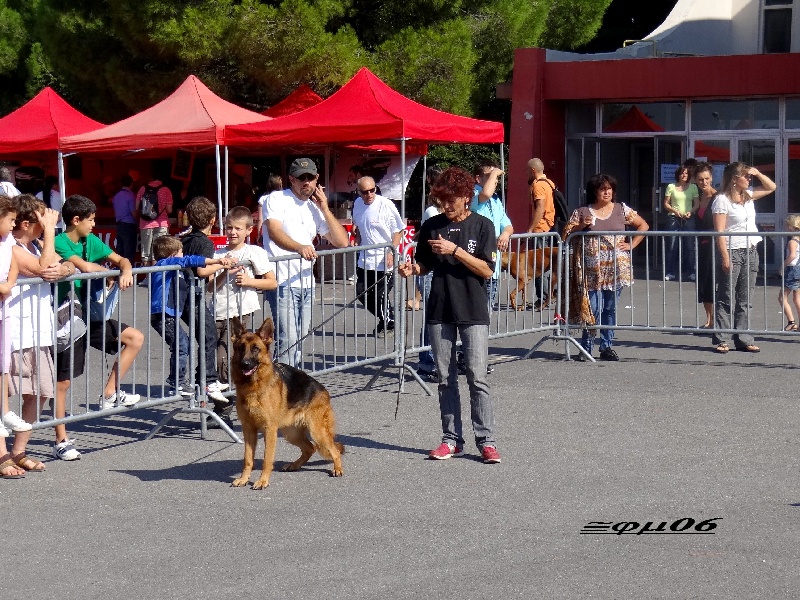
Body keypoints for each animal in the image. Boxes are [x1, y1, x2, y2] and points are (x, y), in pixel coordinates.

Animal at [230, 316, 346, 490]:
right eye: (240, 348)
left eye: (256, 348)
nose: (245, 364)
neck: (254, 388)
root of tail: (322, 389)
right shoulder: (248, 429)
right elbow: (248, 458)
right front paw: (244, 479)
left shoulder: (269, 430)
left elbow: (267, 459)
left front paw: (263, 481)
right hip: (291, 434)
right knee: (310, 448)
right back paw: (294, 465)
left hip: (317, 432)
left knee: (334, 449)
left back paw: (337, 469)